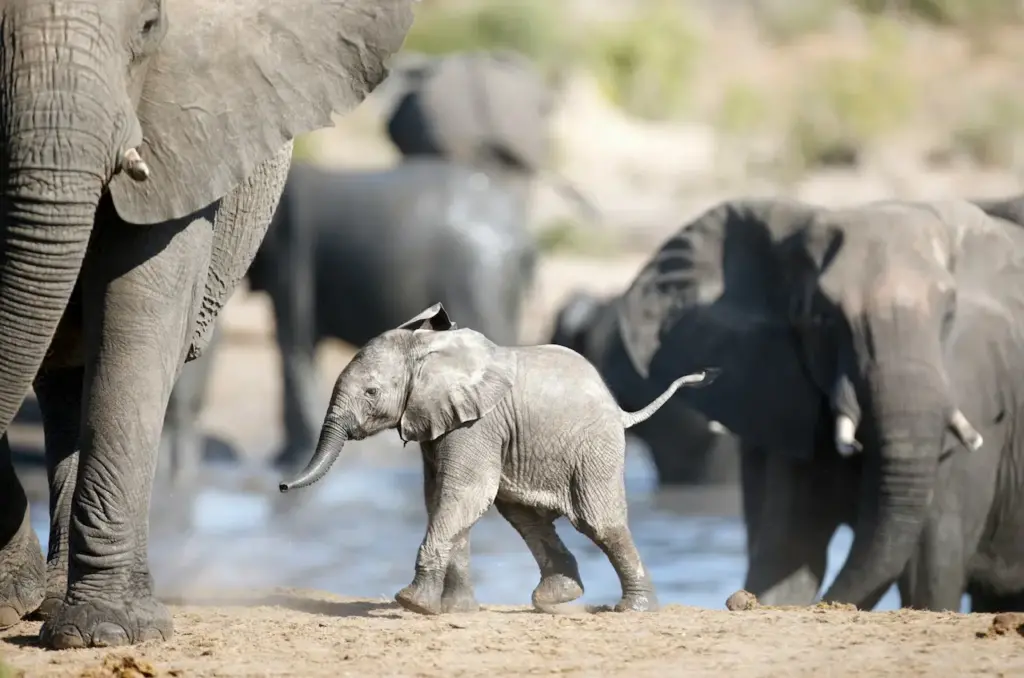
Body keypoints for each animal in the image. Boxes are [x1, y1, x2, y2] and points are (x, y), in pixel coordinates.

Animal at [1, 0, 415, 651]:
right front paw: (17, 600)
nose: (281, 490)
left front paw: (104, 633)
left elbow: (143, 304)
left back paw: (62, 604)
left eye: (149, 28)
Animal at [276, 303, 716, 614]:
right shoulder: (441, 421)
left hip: (595, 447)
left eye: (370, 393)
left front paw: (412, 604)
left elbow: (463, 494)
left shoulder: (478, 424)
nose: (280, 486)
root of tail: (621, 411)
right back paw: (554, 598)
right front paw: (456, 611)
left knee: (598, 521)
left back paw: (634, 609)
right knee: (524, 515)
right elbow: (439, 498)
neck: (428, 349)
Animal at [610, 193, 1024, 614]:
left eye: (950, 314)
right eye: (822, 318)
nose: (735, 601)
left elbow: (932, 571)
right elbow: (790, 551)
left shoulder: (976, 394)